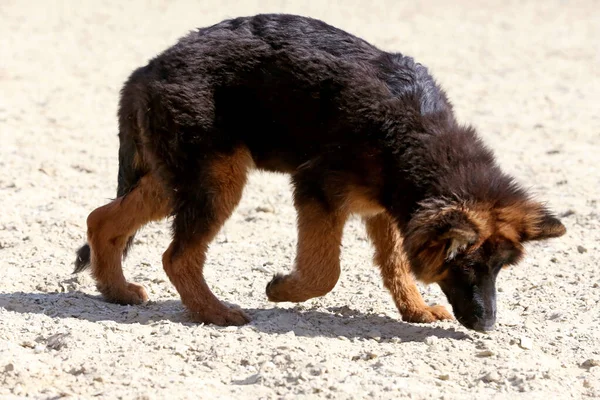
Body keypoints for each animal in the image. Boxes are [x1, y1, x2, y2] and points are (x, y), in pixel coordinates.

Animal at [72, 13, 564, 332]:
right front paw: (282, 290)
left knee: (103, 219)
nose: (489, 328)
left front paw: (417, 309)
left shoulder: (387, 207)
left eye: (498, 269)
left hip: (177, 179)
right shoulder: (317, 189)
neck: (415, 133)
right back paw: (213, 313)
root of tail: (147, 69)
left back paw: (116, 290)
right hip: (217, 180)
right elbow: (325, 271)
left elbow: (395, 265)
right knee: (176, 256)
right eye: (465, 265)